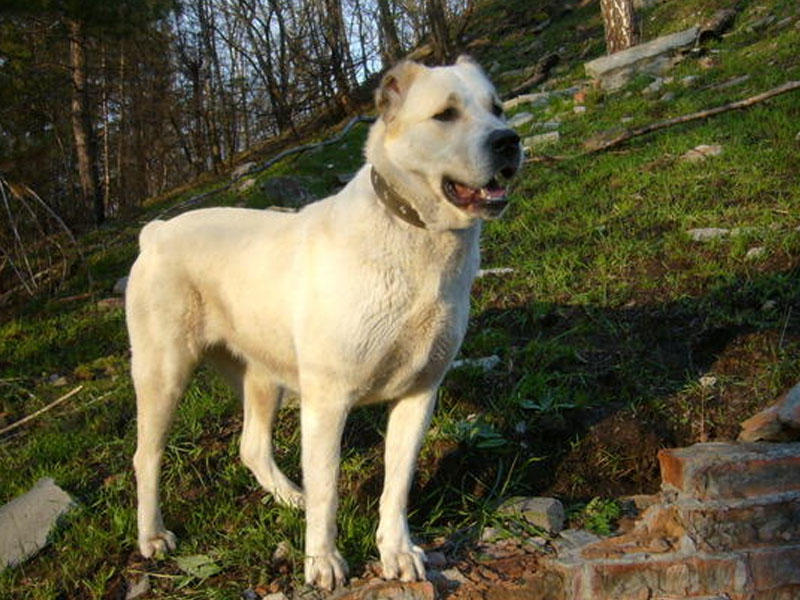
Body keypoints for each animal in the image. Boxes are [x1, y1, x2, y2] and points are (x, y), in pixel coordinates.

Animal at [127, 56, 520, 592]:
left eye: (497, 108)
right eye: (445, 115)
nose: (509, 140)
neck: (416, 236)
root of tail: (156, 231)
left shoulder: (419, 394)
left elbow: (397, 484)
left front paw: (397, 552)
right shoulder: (328, 402)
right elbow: (328, 491)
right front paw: (324, 563)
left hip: (262, 375)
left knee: (252, 447)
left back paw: (289, 497)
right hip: (164, 373)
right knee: (146, 457)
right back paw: (153, 536)